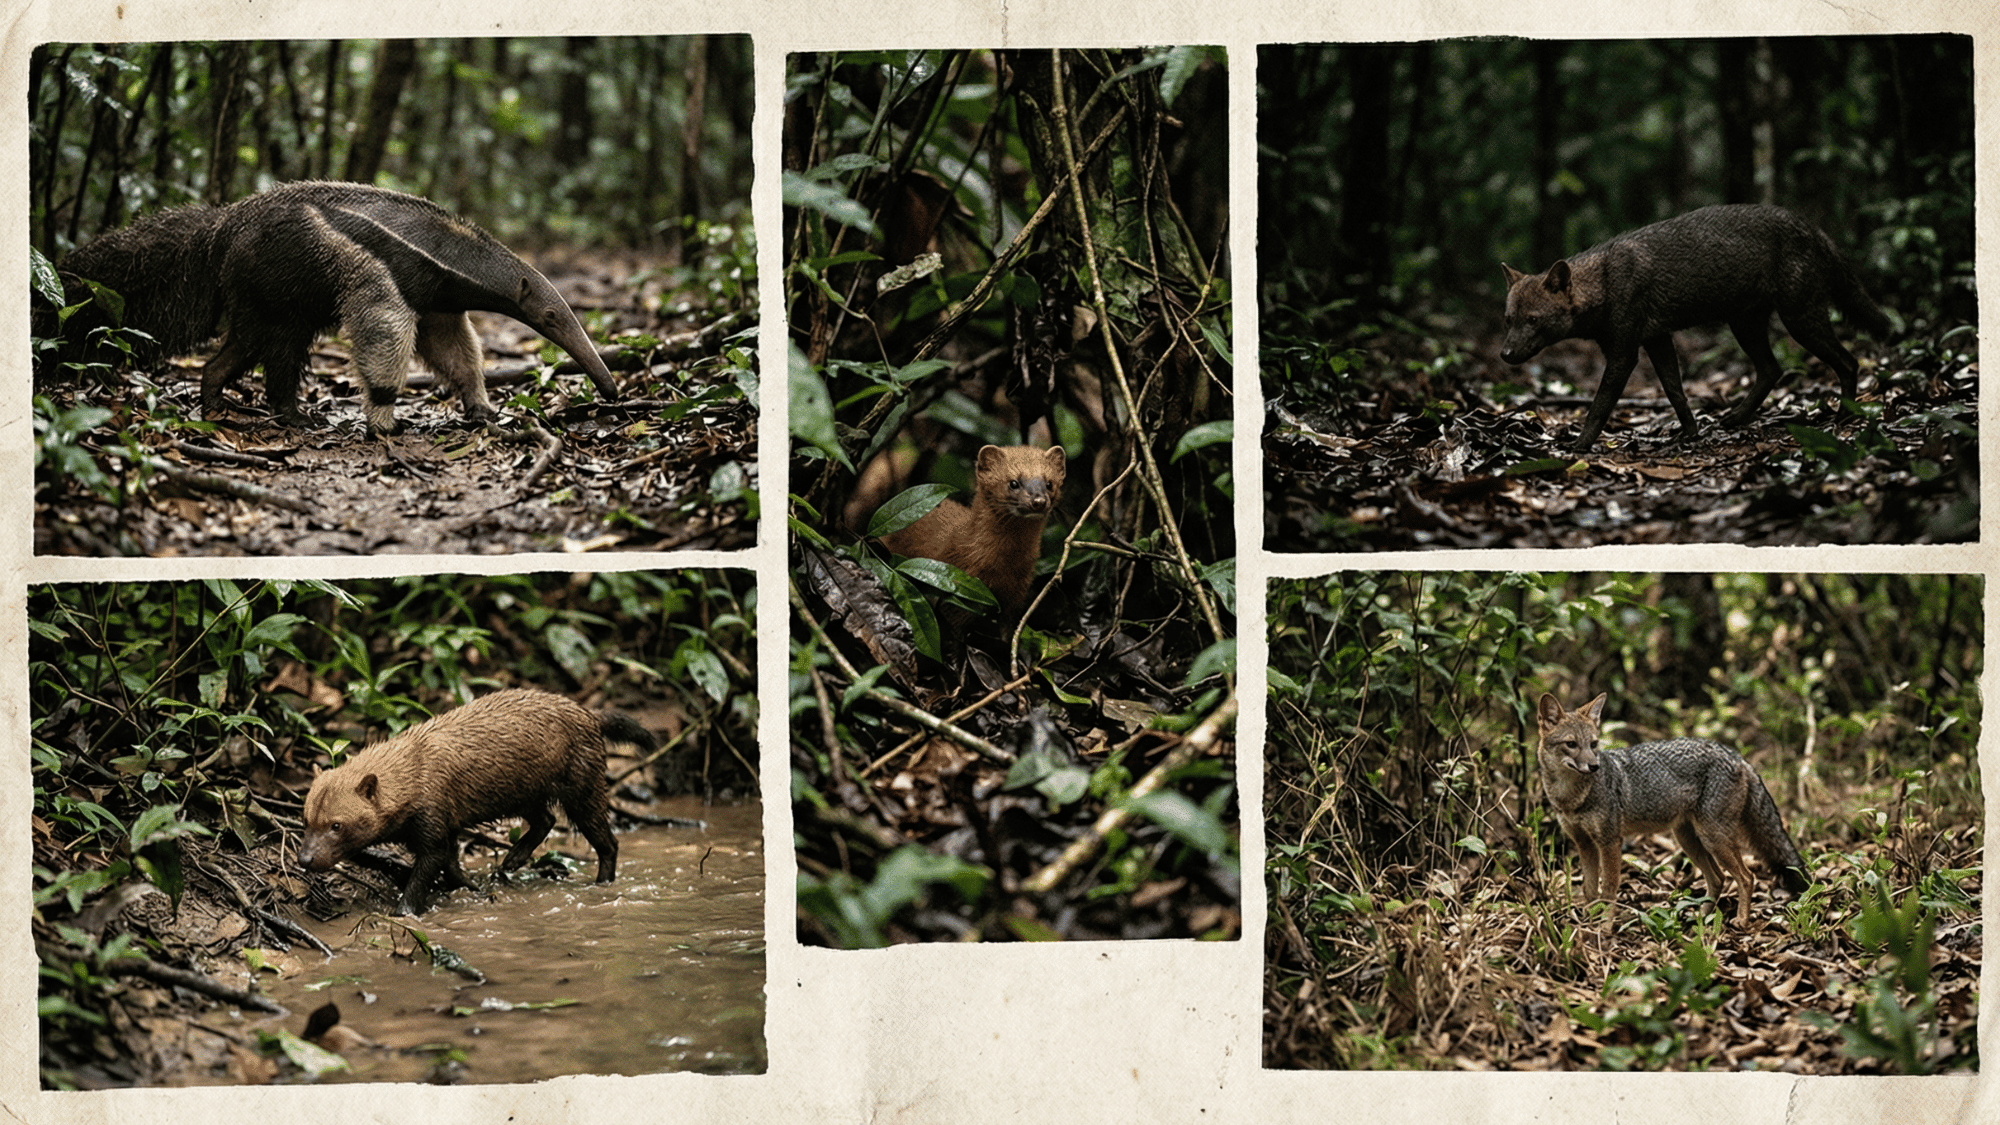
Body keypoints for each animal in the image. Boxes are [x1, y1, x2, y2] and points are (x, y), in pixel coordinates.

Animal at [1501, 204, 1892, 453]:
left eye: (1533, 320)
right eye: (1508, 319)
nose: (1505, 354)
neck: (1604, 283)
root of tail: (1815, 229)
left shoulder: (1625, 351)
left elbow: (1599, 405)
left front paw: (1579, 446)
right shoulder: (1657, 338)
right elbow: (1675, 390)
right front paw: (1690, 434)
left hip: (1800, 320)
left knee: (1848, 362)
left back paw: (1844, 416)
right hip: (1746, 324)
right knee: (1772, 369)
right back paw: (1734, 419)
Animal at [1536, 691, 1810, 928]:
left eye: (1593, 744)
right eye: (1571, 744)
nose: (1594, 766)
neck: (1571, 797)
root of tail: (1736, 755)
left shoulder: (1610, 841)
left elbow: (1610, 889)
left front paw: (1604, 927)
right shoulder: (1585, 844)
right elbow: (1590, 890)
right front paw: (1590, 922)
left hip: (1713, 838)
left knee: (1746, 877)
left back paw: (1741, 920)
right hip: (1689, 840)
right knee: (1719, 878)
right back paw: (1701, 918)